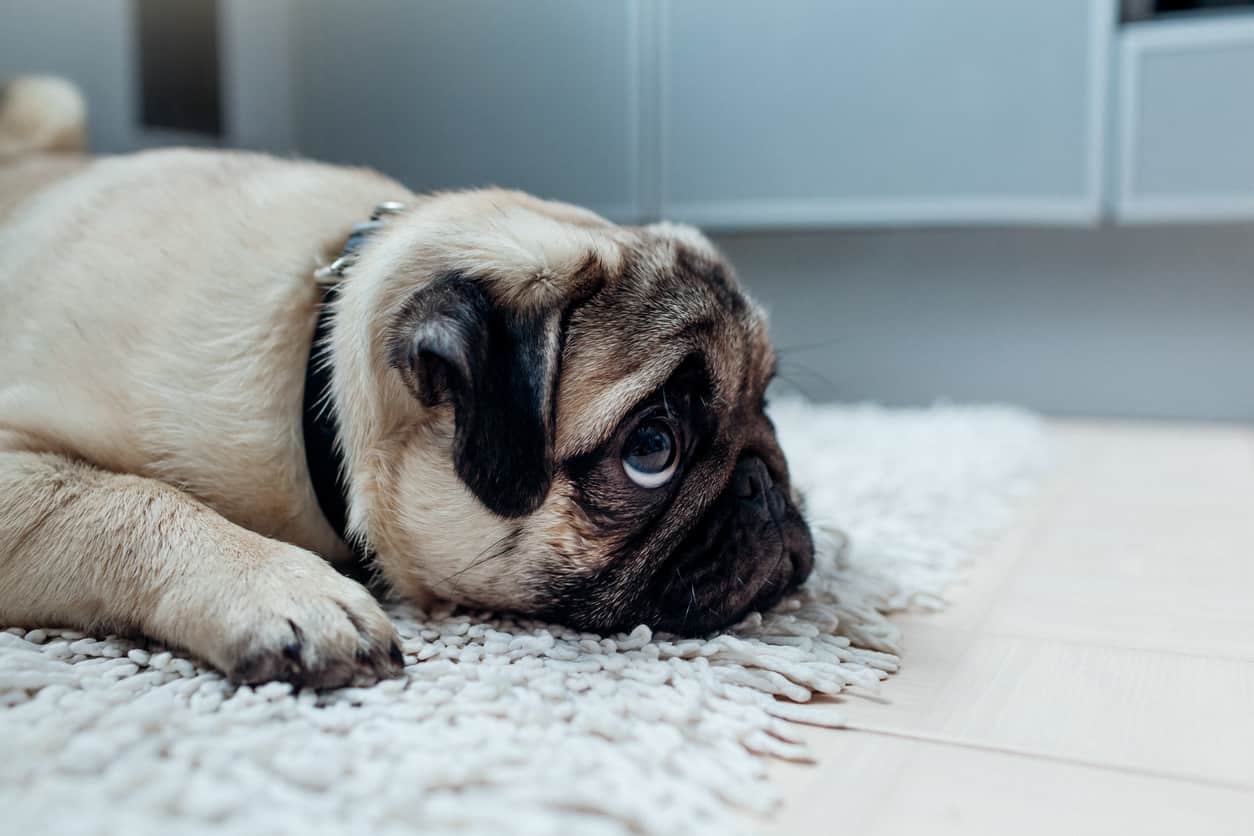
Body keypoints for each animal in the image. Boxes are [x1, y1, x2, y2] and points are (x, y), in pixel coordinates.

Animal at [0, 76, 812, 686]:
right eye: (651, 449)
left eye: (767, 404)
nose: (763, 484)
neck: (313, 361)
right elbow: (130, 500)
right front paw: (282, 587)